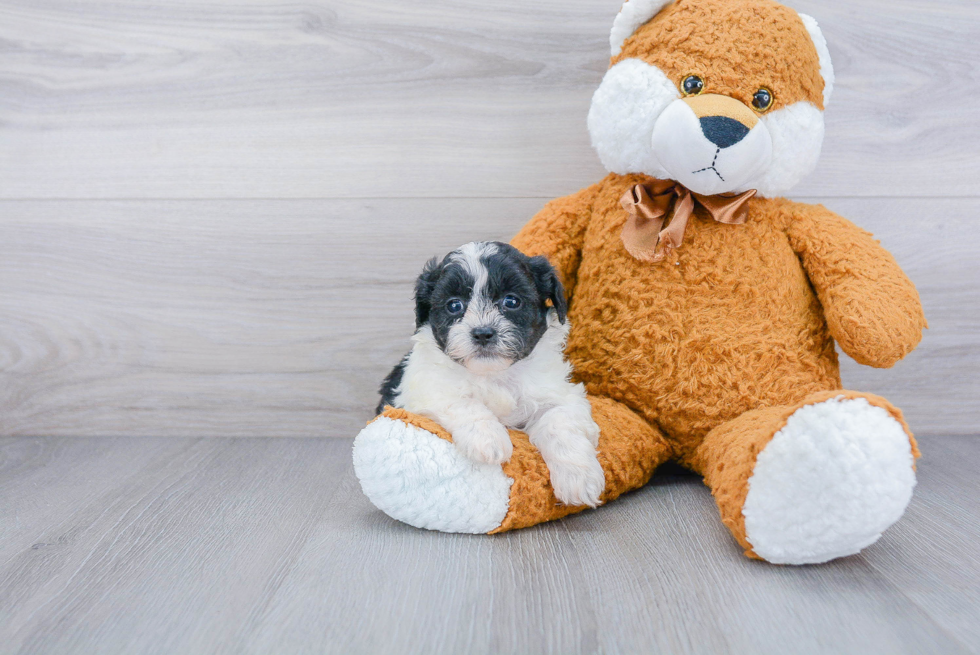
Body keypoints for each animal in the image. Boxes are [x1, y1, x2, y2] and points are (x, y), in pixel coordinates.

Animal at [378, 241, 600, 508]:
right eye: (454, 305)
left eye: (511, 301)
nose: (483, 333)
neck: (494, 374)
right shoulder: (425, 390)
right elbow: (462, 403)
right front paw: (488, 439)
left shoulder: (560, 394)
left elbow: (559, 421)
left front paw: (579, 479)